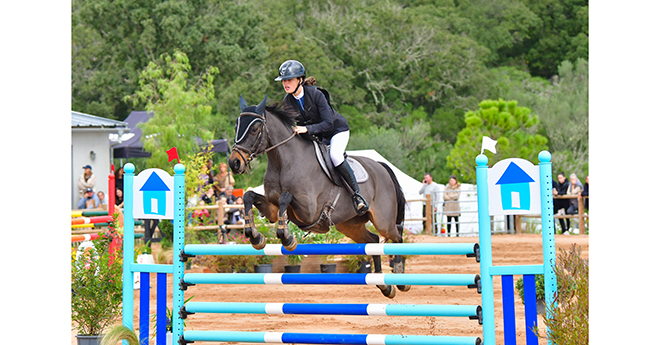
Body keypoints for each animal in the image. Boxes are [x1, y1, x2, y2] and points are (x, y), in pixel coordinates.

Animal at [229, 95, 410, 296]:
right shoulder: (273, 209)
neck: (283, 161)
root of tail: (382, 166)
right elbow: (249, 196)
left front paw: (288, 239)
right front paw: (255, 237)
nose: (234, 163)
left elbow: (285, 198)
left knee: (397, 236)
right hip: (349, 226)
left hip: (383, 220)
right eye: (236, 127)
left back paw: (400, 278)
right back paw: (384, 284)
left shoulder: (309, 211)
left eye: (254, 129)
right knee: (374, 241)